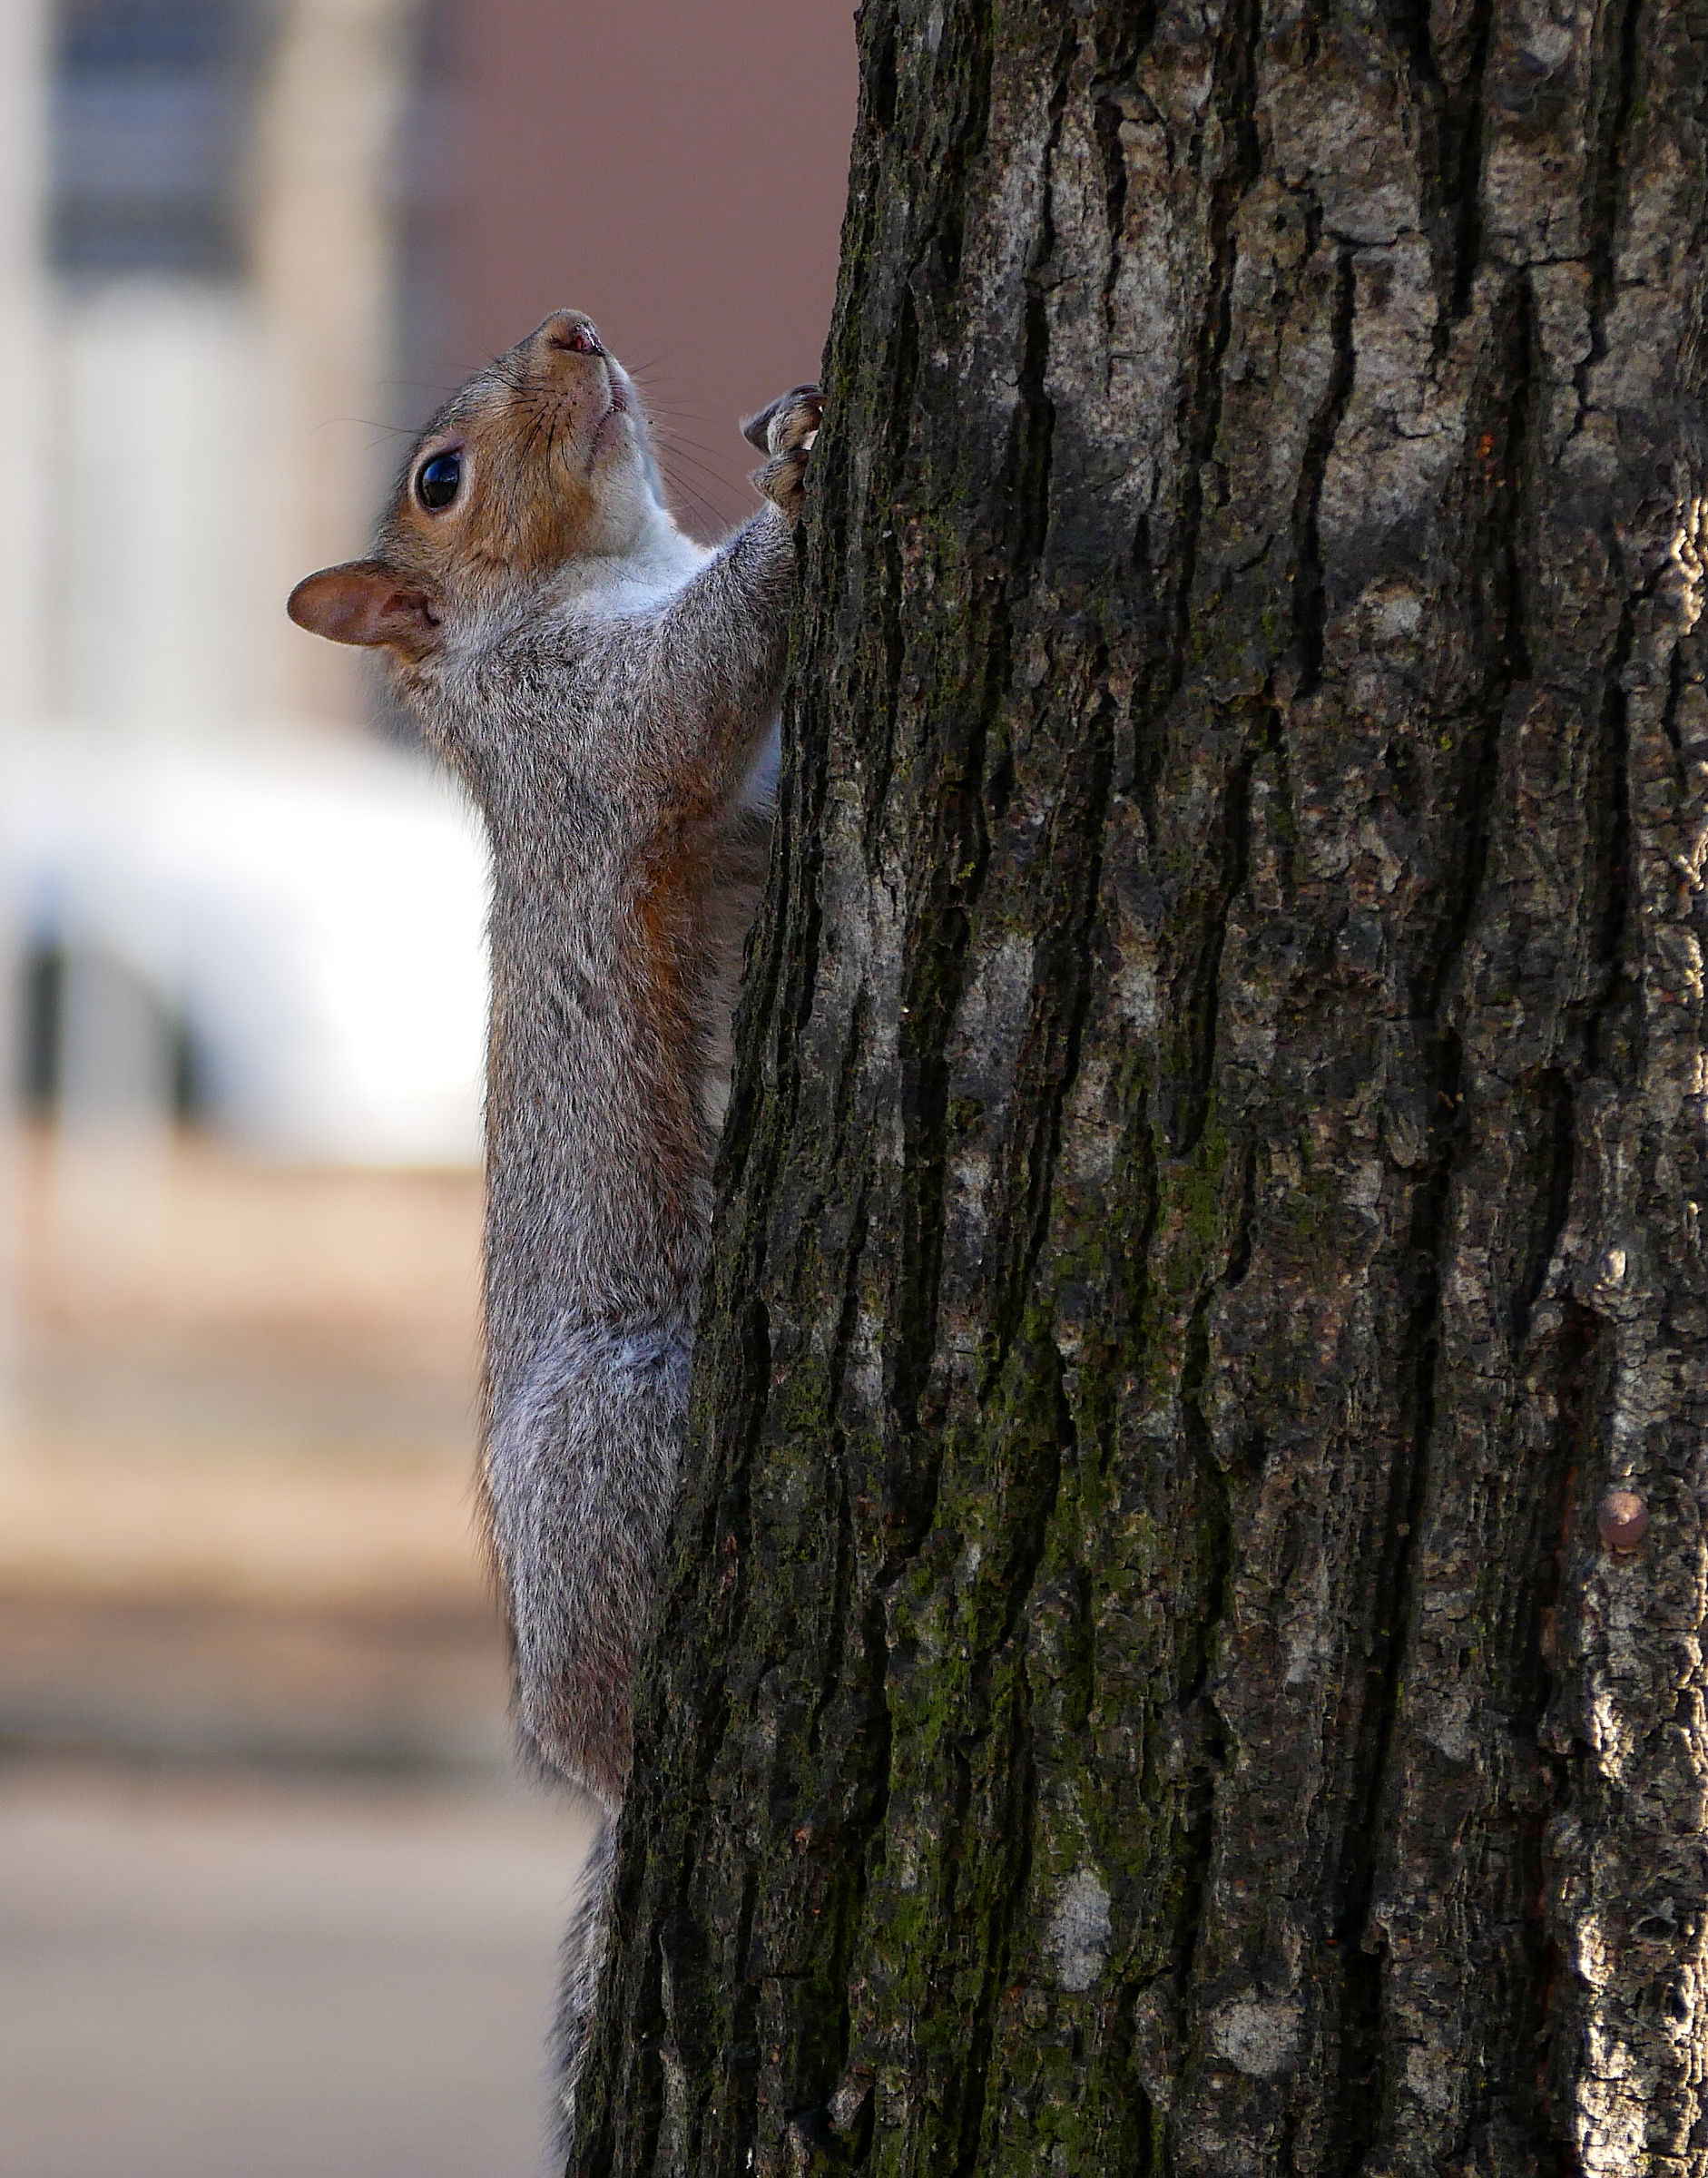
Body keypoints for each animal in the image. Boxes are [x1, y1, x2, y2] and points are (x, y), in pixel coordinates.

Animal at [287, 308, 820, 2152]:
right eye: (439, 481)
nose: (573, 329)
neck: (611, 561)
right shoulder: (574, 740)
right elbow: (683, 697)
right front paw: (802, 494)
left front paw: (785, 421)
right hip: (617, 1426)